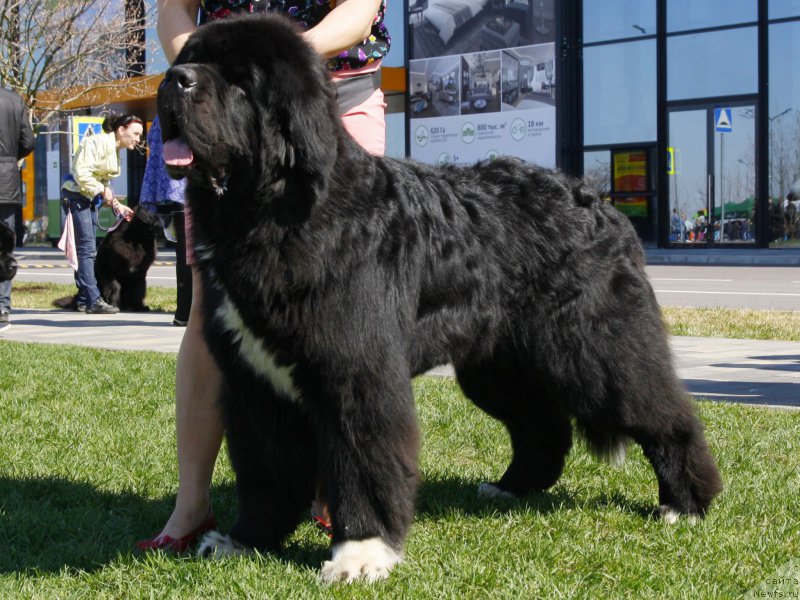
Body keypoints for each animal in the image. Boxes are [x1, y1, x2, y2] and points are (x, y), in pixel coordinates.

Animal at [159, 14, 720, 584]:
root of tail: (601, 205)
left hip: (595, 350)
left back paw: (685, 503)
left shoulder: (355, 372)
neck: (268, 214)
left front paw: (360, 551)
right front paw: (247, 538)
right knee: (542, 425)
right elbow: (265, 468)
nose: (175, 80)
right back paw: (512, 487)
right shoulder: (254, 382)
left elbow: (362, 459)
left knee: (662, 412)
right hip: (500, 367)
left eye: (239, 82)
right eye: (193, 59)